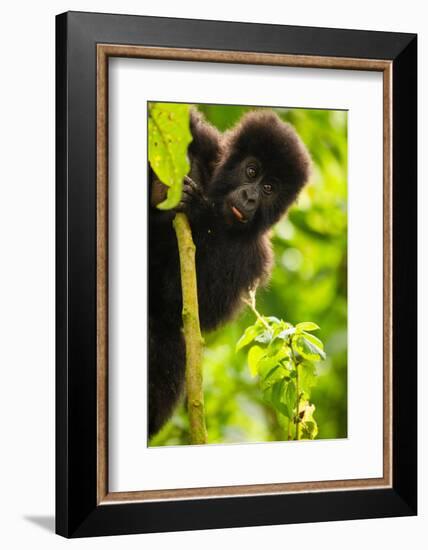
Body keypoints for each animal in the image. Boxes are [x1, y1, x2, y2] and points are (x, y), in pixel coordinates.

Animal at [149, 109, 310, 440]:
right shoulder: (209, 146)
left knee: (169, 337)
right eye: (251, 172)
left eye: (269, 188)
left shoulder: (253, 257)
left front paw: (198, 209)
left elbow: (183, 305)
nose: (249, 197)